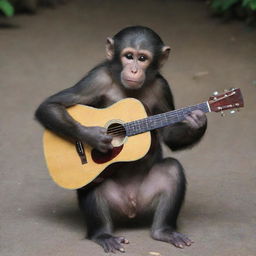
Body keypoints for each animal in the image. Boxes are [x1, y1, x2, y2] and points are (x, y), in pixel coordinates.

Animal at [35, 25, 208, 253]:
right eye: (128, 56)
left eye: (142, 58)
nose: (134, 70)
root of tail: (131, 207)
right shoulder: (96, 78)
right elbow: (51, 105)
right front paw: (95, 137)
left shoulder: (163, 87)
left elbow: (169, 134)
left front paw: (199, 119)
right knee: (91, 186)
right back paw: (103, 235)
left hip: (146, 201)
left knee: (172, 169)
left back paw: (164, 231)